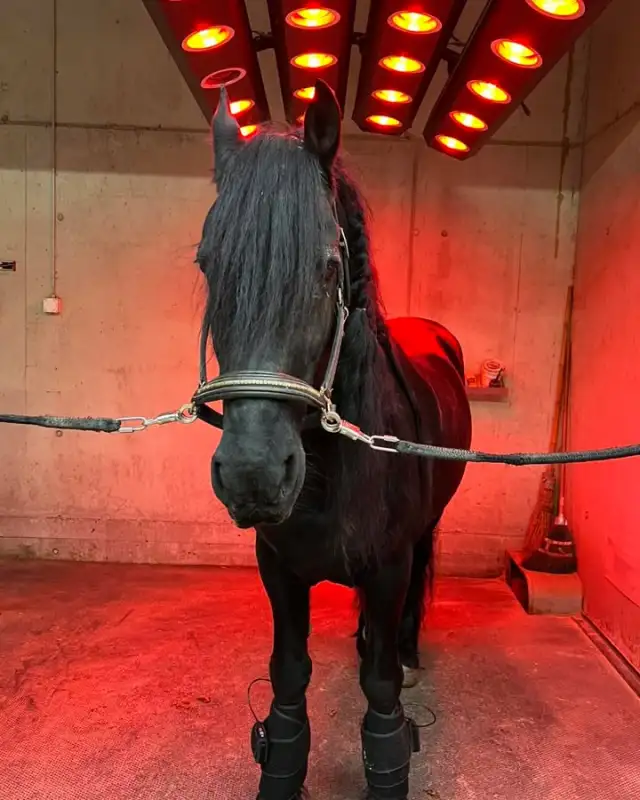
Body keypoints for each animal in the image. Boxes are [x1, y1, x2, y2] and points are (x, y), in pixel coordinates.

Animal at [195, 81, 470, 800]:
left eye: (326, 267)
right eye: (209, 264)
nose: (254, 474)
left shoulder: (390, 567)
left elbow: (381, 695)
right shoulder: (279, 570)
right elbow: (289, 683)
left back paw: (404, 646)